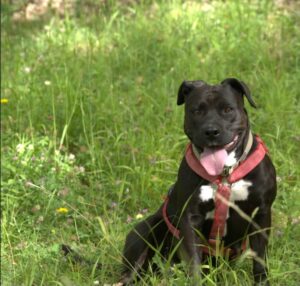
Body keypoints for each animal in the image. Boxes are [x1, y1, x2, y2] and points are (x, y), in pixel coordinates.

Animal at [119, 77, 276, 284]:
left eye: (227, 109)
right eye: (197, 111)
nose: (211, 131)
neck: (225, 175)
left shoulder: (261, 214)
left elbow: (259, 261)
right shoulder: (190, 219)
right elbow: (194, 263)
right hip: (144, 231)